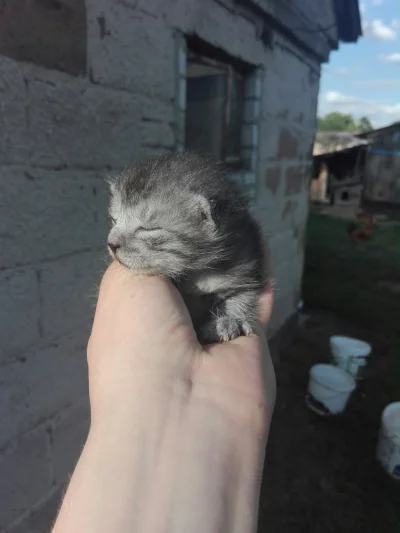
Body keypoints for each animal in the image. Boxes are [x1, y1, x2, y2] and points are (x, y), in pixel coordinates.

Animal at [108, 152, 268, 342]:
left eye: (148, 229)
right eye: (114, 220)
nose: (111, 244)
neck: (195, 271)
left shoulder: (244, 266)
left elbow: (242, 296)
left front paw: (230, 320)